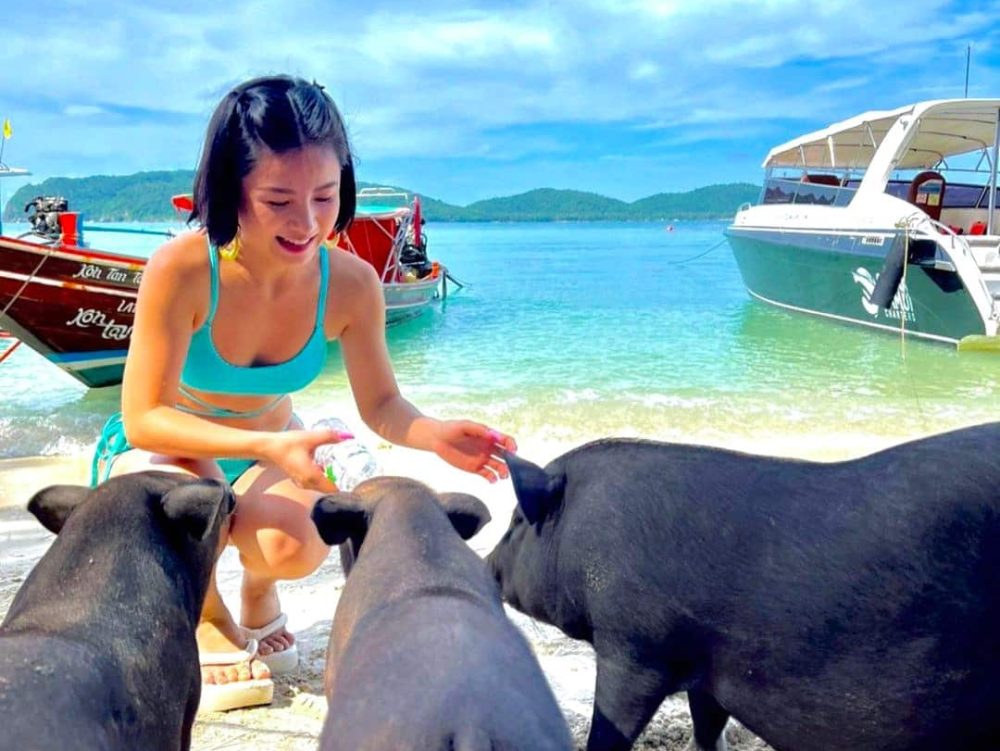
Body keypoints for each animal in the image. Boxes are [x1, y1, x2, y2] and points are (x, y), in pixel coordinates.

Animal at [486, 425, 1000, 751]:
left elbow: (611, 726)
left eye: (516, 522)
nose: (487, 564)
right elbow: (707, 729)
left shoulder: (634, 646)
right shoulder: (709, 667)